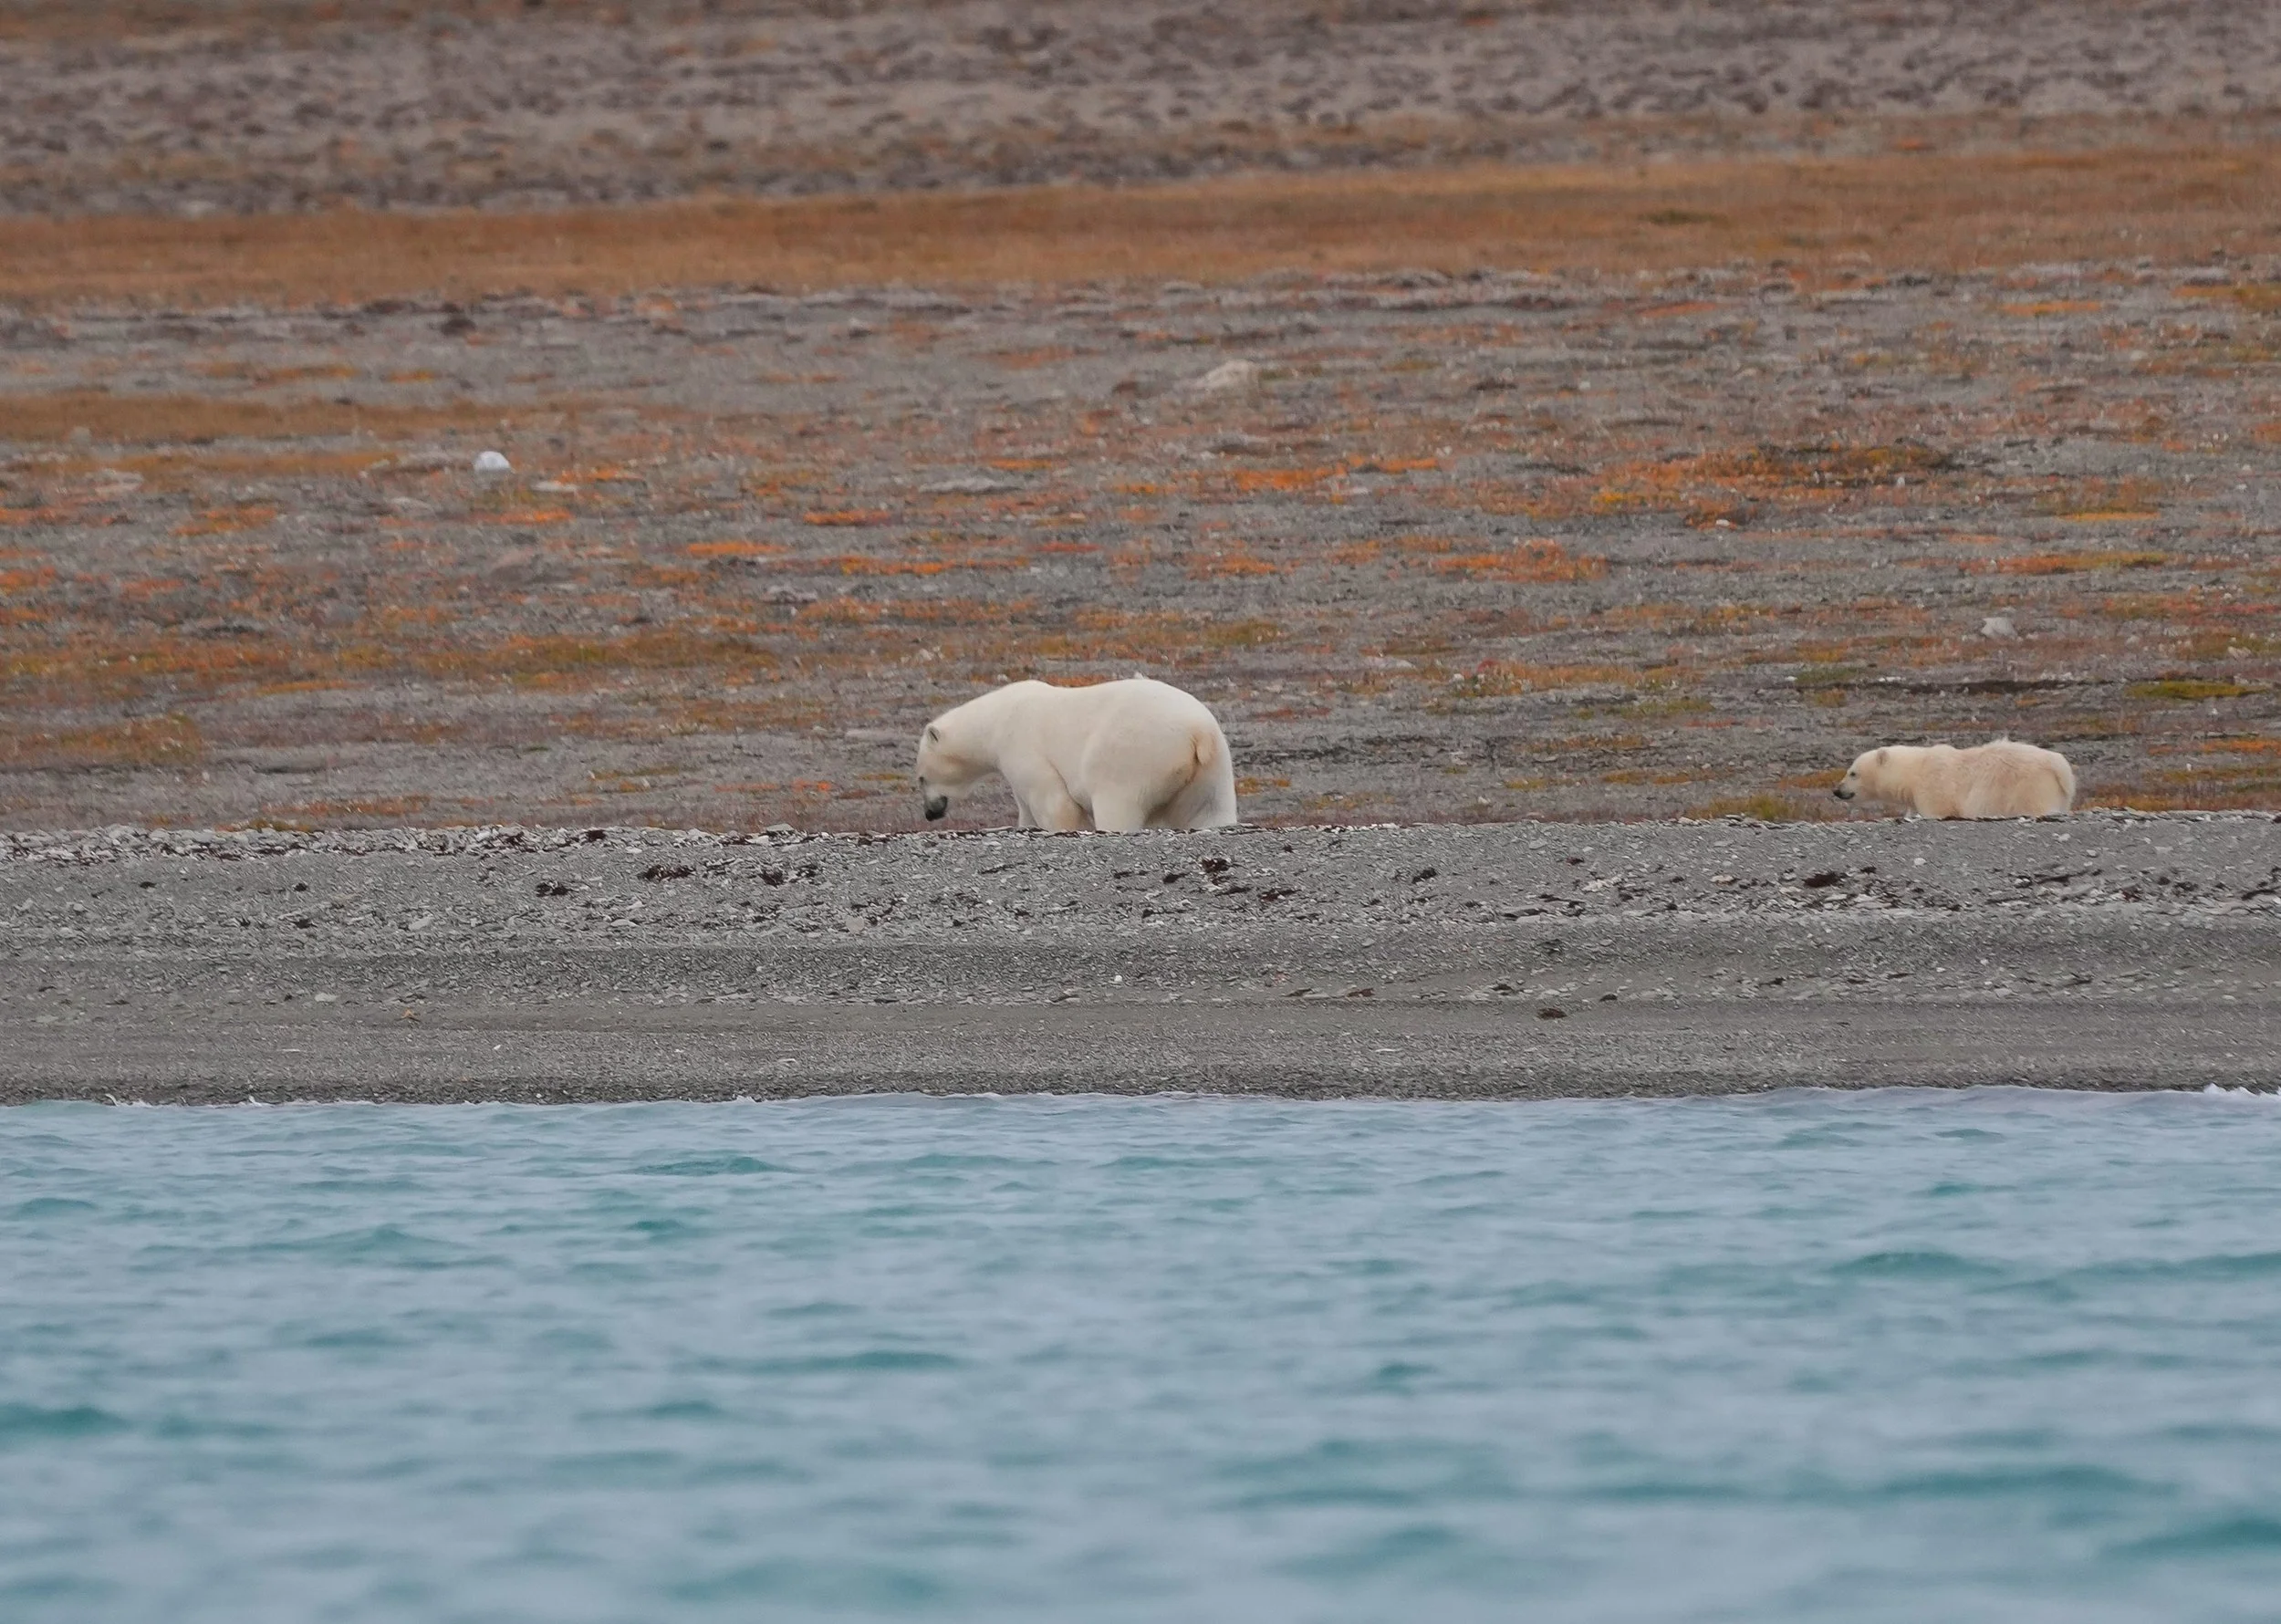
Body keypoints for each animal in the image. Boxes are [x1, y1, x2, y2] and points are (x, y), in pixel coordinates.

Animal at [915, 677, 1238, 832]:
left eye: (920, 778)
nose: (930, 812)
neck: (995, 721)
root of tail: (1197, 733)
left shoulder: (1021, 745)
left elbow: (1055, 802)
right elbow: (1026, 810)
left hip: (1133, 755)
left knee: (1117, 802)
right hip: (1213, 769)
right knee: (1210, 811)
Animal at [1833, 737, 2076, 819]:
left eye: (1853, 772)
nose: (1837, 790)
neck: (1914, 772)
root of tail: (2060, 766)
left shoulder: (1933, 788)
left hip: (2027, 787)